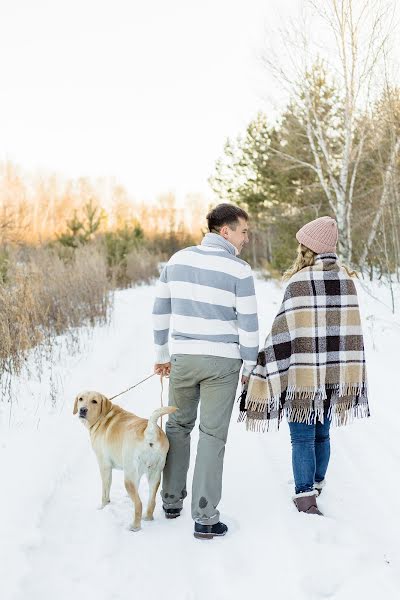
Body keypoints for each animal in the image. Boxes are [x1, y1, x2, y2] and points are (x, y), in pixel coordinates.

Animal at [74, 392, 177, 532]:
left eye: (94, 401)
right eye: (81, 399)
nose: (82, 410)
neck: (103, 417)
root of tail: (149, 431)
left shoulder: (104, 466)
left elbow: (105, 491)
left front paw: (103, 506)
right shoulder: (137, 474)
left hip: (128, 476)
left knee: (139, 503)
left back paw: (135, 526)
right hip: (154, 474)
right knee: (151, 501)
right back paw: (148, 517)